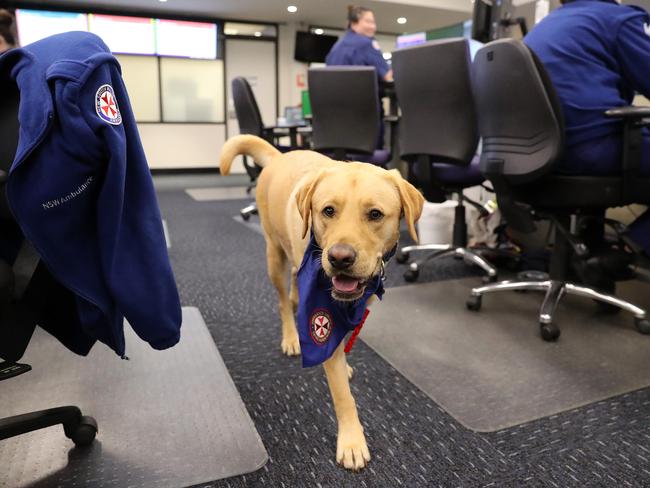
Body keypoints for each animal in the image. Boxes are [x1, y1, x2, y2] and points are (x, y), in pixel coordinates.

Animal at [218, 133, 422, 468]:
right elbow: (342, 394)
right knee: (282, 302)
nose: (339, 258)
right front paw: (351, 440)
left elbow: (346, 340)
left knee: (293, 286)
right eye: (328, 211)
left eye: (375, 214)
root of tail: (279, 155)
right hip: (274, 255)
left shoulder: (359, 305)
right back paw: (291, 336)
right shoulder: (323, 319)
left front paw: (346, 364)